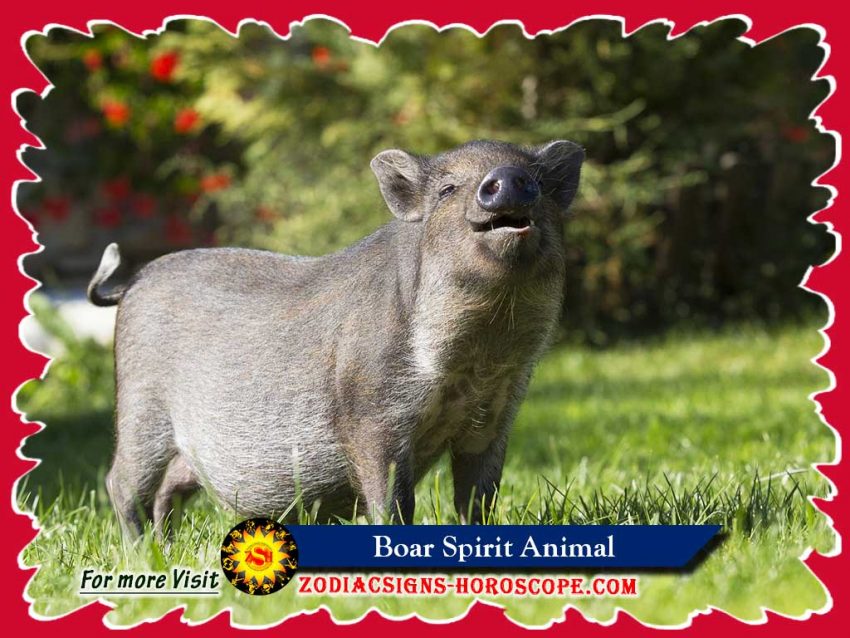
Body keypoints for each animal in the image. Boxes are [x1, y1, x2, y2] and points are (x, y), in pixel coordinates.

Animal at [87, 139, 584, 537]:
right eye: (447, 189)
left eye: (537, 180)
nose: (509, 178)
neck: (477, 359)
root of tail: (132, 283)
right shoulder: (372, 416)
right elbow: (392, 499)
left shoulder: (494, 416)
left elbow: (478, 497)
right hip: (140, 409)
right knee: (120, 482)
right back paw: (141, 550)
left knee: (168, 490)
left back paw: (164, 546)